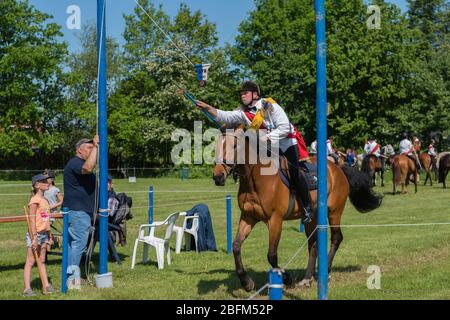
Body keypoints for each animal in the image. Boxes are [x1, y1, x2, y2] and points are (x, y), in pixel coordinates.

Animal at [213, 127, 382, 290]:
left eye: (235, 145)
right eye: (216, 146)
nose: (218, 176)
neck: (255, 180)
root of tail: (338, 168)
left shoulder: (275, 220)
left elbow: (271, 254)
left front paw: (286, 277)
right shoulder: (248, 217)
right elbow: (236, 246)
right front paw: (246, 282)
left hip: (334, 211)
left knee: (336, 238)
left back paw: (325, 271)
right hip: (312, 217)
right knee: (313, 244)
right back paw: (307, 278)